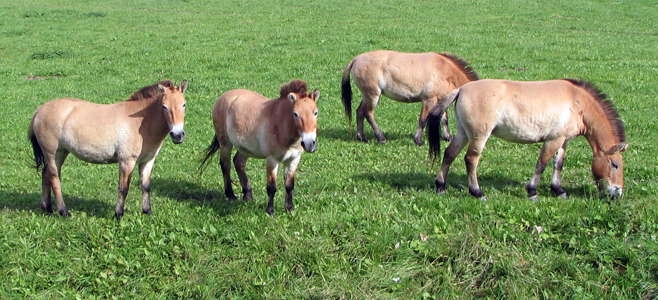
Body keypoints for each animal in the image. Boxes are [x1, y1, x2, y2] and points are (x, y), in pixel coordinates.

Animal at [28, 79, 187, 218]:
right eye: (164, 106)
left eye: (184, 104)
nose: (177, 135)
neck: (141, 123)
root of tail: (39, 111)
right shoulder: (126, 162)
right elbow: (123, 189)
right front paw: (118, 214)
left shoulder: (147, 161)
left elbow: (146, 186)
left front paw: (147, 211)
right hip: (51, 154)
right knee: (54, 179)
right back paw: (63, 211)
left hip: (60, 153)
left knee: (46, 175)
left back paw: (47, 208)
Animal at [199, 79, 320, 216]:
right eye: (295, 114)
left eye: (315, 112)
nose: (310, 144)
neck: (281, 125)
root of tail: (223, 97)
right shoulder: (272, 160)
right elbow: (271, 187)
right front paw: (270, 211)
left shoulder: (294, 159)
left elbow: (289, 186)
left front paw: (289, 209)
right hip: (225, 144)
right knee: (226, 165)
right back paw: (231, 195)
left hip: (244, 148)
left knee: (238, 163)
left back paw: (248, 196)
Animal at [338, 49, 476, 145]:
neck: (444, 70)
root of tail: (356, 60)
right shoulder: (428, 100)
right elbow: (423, 120)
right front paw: (418, 140)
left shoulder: (440, 99)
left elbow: (444, 119)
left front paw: (448, 137)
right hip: (372, 95)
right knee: (368, 113)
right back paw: (381, 138)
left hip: (367, 95)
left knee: (360, 112)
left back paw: (361, 137)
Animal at [426, 79, 624, 202]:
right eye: (614, 165)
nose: (617, 193)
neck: (576, 102)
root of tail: (461, 89)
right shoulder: (553, 140)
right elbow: (541, 164)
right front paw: (532, 192)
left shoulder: (563, 140)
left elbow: (558, 164)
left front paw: (558, 190)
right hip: (479, 135)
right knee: (471, 160)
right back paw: (477, 192)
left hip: (463, 133)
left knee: (449, 154)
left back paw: (440, 186)